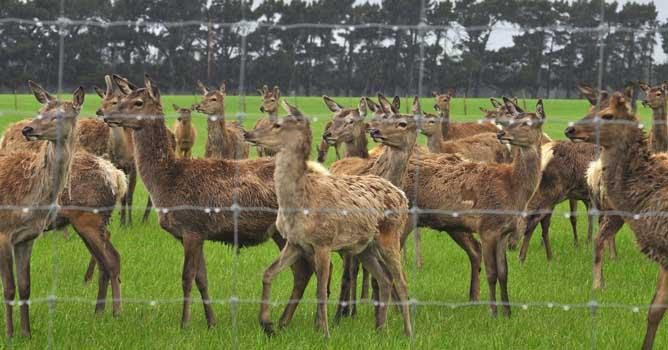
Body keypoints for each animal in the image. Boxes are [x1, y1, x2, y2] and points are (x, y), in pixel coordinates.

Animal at [0, 80, 85, 338]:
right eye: (40, 111)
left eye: (59, 115)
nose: (27, 129)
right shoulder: (3, 233)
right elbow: (9, 288)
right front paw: (9, 334)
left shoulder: (27, 237)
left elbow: (25, 286)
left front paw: (26, 334)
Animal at [103, 74, 314, 330]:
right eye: (122, 99)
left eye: (138, 103)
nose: (106, 115)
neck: (167, 181)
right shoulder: (198, 232)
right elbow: (201, 278)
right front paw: (211, 321)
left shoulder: (191, 227)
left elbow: (186, 277)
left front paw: (184, 323)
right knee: (303, 271)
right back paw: (284, 320)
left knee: (310, 268)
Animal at [245, 98, 412, 336]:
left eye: (277, 125)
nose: (247, 133)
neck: (299, 204)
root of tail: (402, 195)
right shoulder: (295, 242)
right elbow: (268, 273)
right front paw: (267, 323)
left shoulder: (323, 242)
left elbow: (321, 290)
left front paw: (324, 331)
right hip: (364, 247)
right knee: (385, 278)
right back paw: (381, 328)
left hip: (390, 237)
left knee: (402, 281)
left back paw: (408, 332)